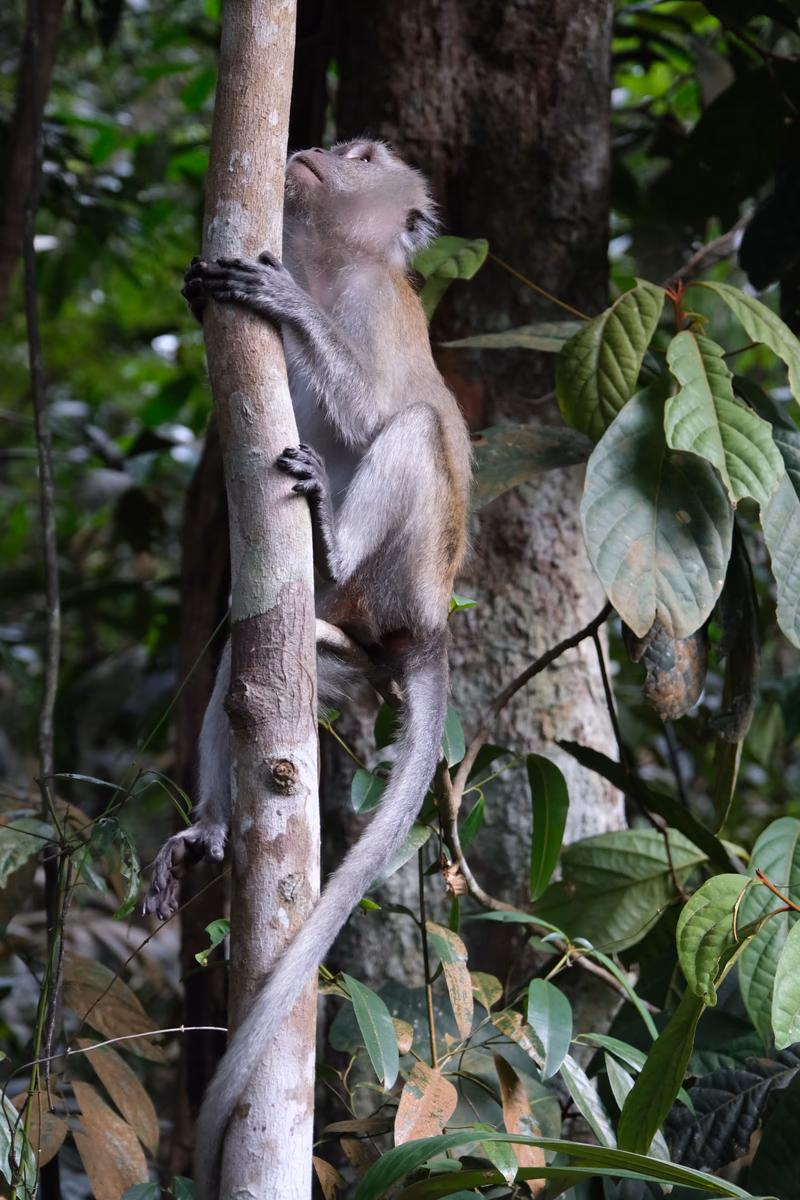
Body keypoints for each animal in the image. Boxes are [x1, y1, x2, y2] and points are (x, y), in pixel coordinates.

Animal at [143, 139, 471, 1197]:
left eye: (366, 157)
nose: (319, 151)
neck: (335, 262)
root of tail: (421, 631)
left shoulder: (377, 305)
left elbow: (379, 406)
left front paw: (283, 302)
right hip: (340, 650)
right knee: (241, 667)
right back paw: (210, 830)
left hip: (404, 579)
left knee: (416, 430)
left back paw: (329, 536)